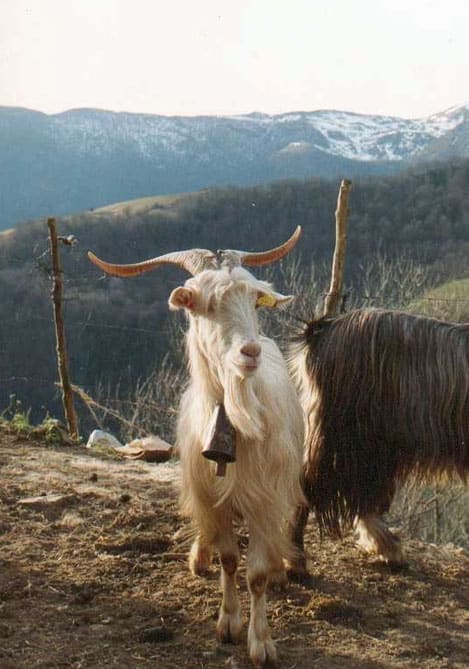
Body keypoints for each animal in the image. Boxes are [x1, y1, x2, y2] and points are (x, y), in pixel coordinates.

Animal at [88, 228, 305, 667]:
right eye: (203, 303)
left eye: (253, 300)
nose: (249, 352)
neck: (234, 418)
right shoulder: (210, 494)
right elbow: (229, 560)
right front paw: (228, 622)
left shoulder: (264, 496)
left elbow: (256, 574)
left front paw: (261, 641)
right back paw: (199, 554)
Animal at [288, 308, 469, 574]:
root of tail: (323, 330)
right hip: (343, 435)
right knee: (309, 482)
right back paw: (295, 559)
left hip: (372, 446)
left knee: (363, 494)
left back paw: (387, 548)